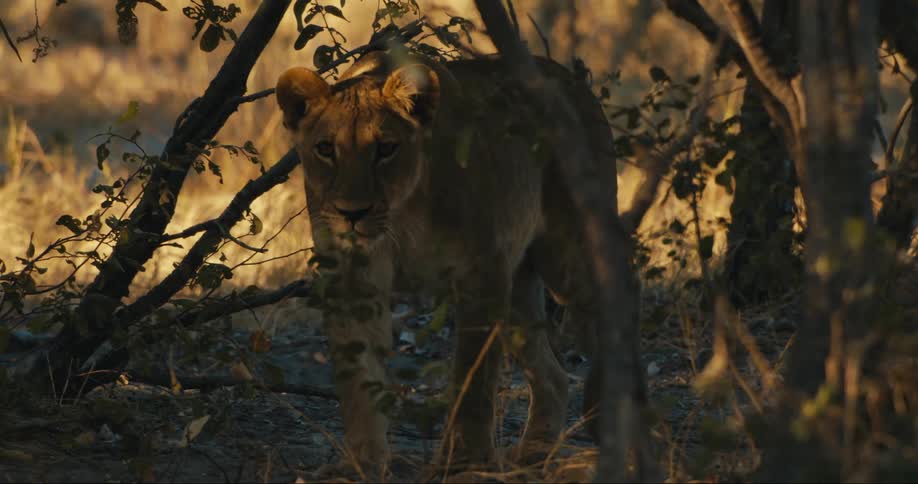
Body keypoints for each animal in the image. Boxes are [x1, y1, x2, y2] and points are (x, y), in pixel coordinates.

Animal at [276, 50, 619, 472]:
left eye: (385, 148)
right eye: (325, 149)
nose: (352, 213)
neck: (402, 215)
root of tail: (571, 79)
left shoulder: (481, 271)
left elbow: (473, 376)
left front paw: (464, 460)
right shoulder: (352, 278)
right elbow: (358, 378)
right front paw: (360, 464)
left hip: (567, 251)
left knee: (614, 306)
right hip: (518, 280)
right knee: (553, 375)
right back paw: (534, 453)